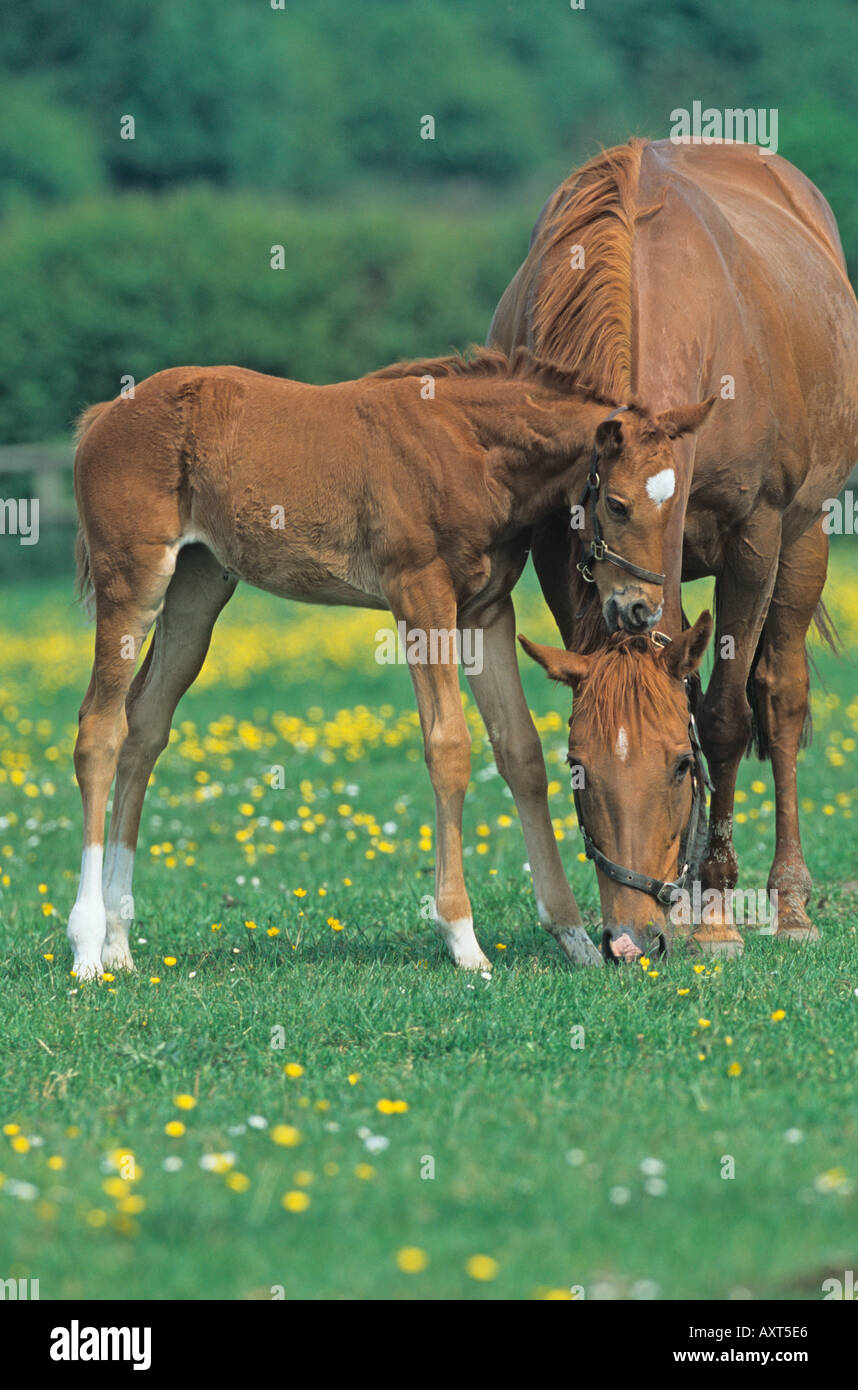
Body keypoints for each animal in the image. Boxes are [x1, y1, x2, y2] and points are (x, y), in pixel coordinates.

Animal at [67, 346, 712, 979]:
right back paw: (87, 946)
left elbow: (521, 751)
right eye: (618, 505)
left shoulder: (485, 610)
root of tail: (102, 416)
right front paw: (463, 940)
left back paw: (120, 943)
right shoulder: (419, 594)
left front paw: (573, 936)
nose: (641, 609)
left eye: (674, 505)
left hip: (196, 589)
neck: (471, 449)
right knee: (99, 729)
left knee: (144, 727)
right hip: (132, 581)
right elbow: (448, 747)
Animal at [491, 137, 858, 958]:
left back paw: (787, 904)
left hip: (805, 537)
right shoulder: (559, 549)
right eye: (577, 770)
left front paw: (718, 914)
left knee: (779, 696)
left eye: (680, 766)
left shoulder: (753, 539)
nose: (632, 941)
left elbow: (723, 716)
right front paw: (689, 903)